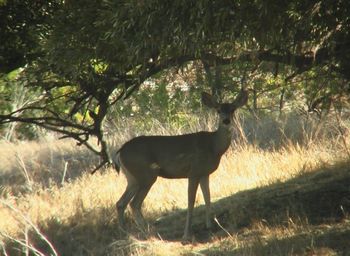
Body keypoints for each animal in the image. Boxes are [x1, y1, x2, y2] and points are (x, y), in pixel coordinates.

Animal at [113, 89, 247, 241]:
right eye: (218, 110)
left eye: (233, 109)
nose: (226, 120)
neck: (214, 147)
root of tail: (120, 151)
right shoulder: (193, 171)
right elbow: (191, 201)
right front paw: (187, 234)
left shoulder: (204, 173)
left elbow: (208, 198)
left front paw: (209, 225)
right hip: (146, 174)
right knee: (134, 203)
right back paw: (149, 232)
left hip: (132, 178)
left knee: (121, 203)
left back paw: (124, 233)